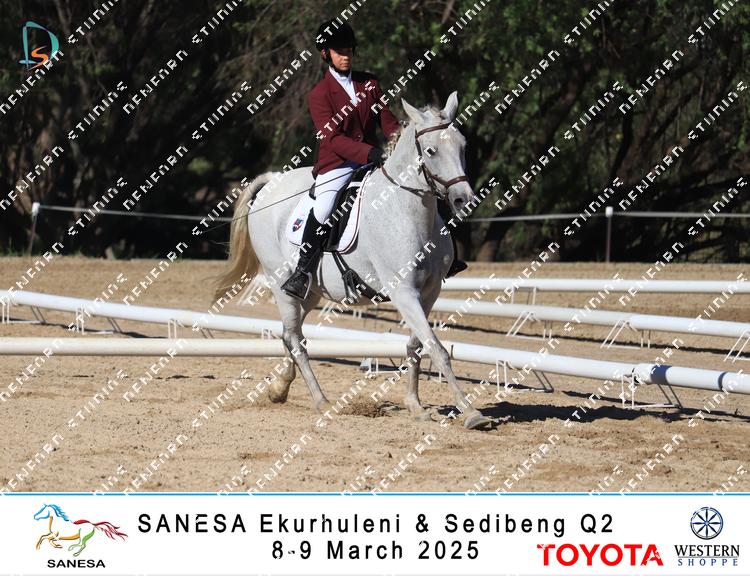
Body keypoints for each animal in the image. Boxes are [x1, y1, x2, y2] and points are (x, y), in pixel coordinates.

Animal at [213, 91, 493, 430]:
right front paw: (471, 412)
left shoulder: (429, 291)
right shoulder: (403, 291)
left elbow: (417, 345)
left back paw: (279, 389)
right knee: (295, 338)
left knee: (289, 334)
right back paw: (321, 401)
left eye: (462, 146)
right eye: (431, 150)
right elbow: (437, 350)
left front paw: (415, 405)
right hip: (281, 284)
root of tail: (272, 183)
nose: (464, 200)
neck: (406, 210)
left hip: (310, 291)